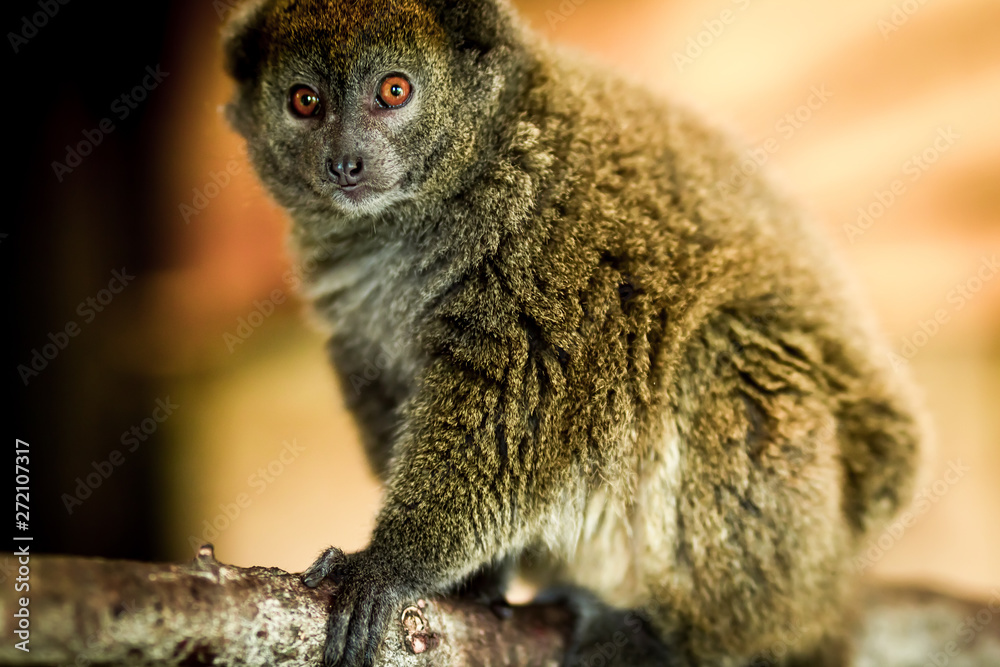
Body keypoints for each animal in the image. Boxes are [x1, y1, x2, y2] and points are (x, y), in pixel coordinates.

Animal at [222, 1, 924, 665]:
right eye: (305, 101)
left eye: (394, 90)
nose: (345, 162)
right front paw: (477, 582)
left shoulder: (547, 250)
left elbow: (519, 415)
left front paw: (389, 564)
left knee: (727, 353)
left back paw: (691, 640)